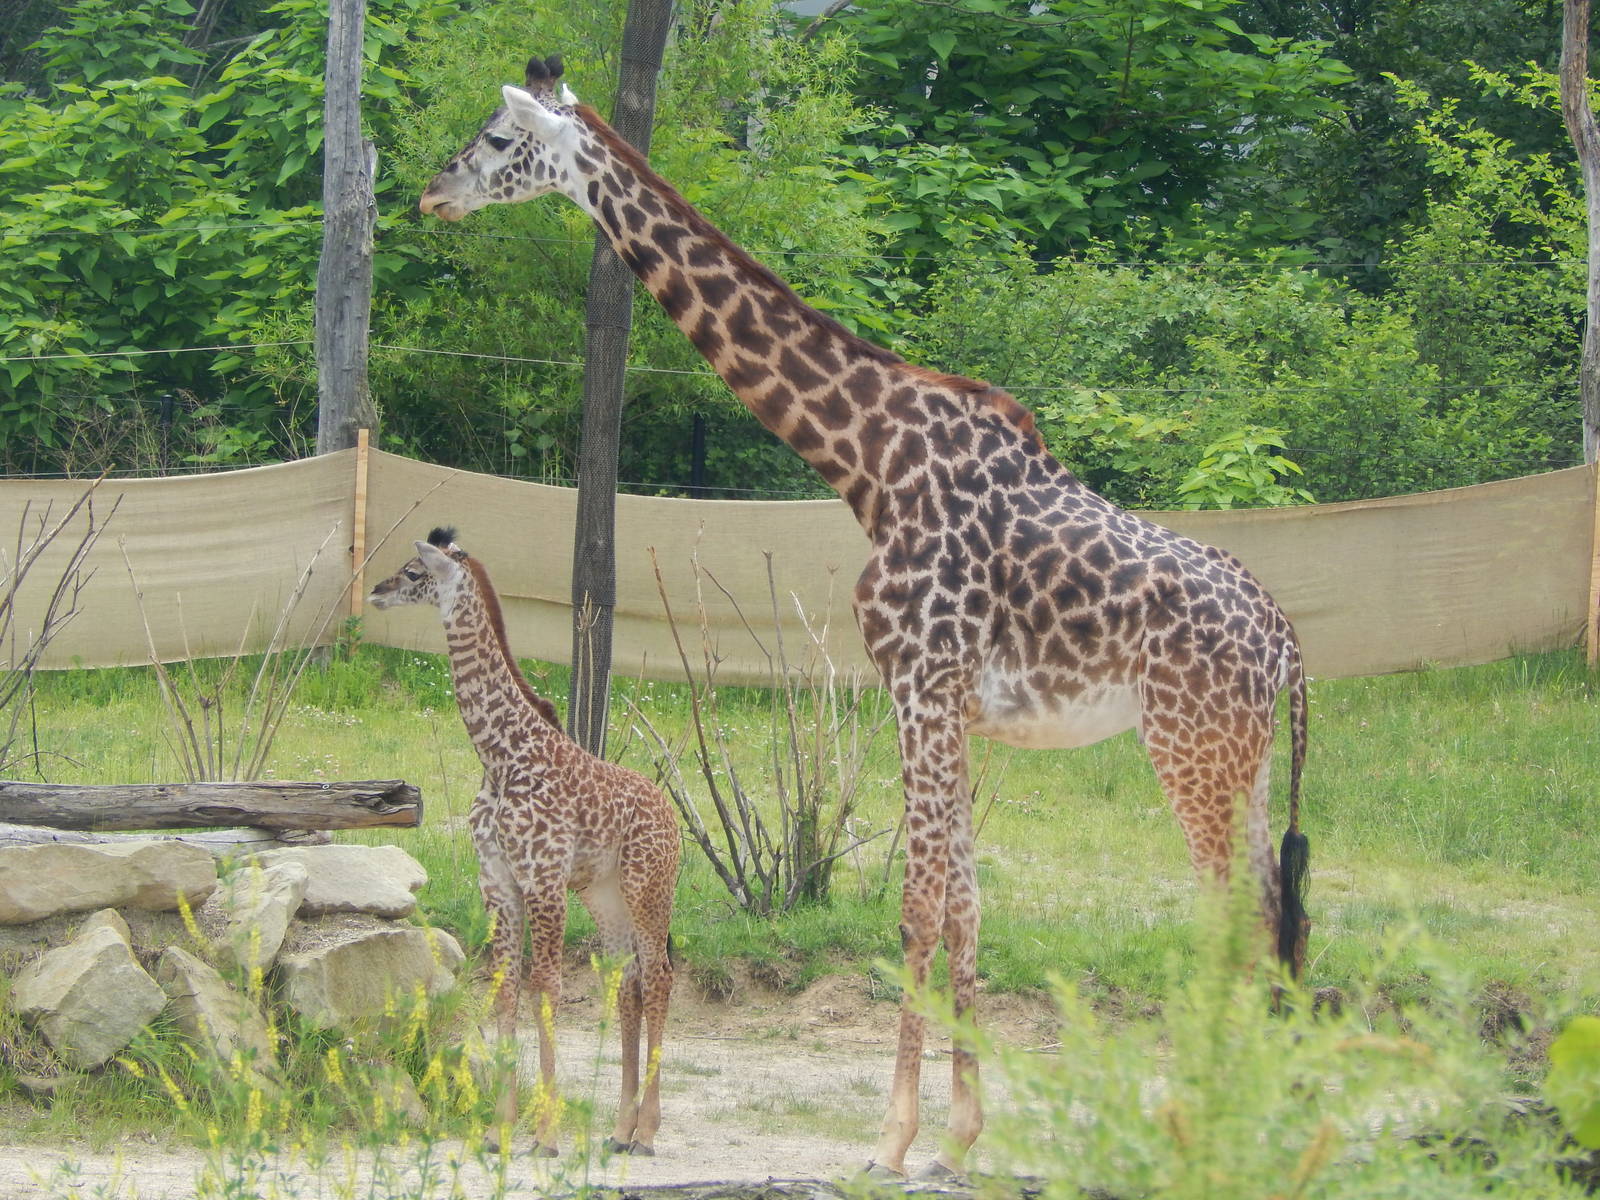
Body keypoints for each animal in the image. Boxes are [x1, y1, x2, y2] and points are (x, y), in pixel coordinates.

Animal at [368, 526, 679, 1156]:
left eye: (414, 572)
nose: (376, 590)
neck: (500, 757)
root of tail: (676, 820)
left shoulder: (543, 881)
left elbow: (547, 987)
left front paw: (548, 1134)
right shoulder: (499, 882)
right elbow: (506, 988)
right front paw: (499, 1128)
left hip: (648, 887)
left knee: (660, 976)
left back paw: (647, 1132)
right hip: (604, 896)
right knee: (629, 981)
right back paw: (619, 1129)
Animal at [419, 56, 1310, 1179]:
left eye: (497, 140)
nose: (430, 192)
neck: (869, 460)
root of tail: (1285, 643)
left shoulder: (920, 684)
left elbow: (918, 908)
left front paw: (892, 1137)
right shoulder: (954, 706)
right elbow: (966, 909)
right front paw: (963, 1136)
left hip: (1186, 747)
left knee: (1231, 916)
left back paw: (1201, 1127)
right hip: (1242, 759)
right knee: (1270, 914)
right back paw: (1252, 1124)